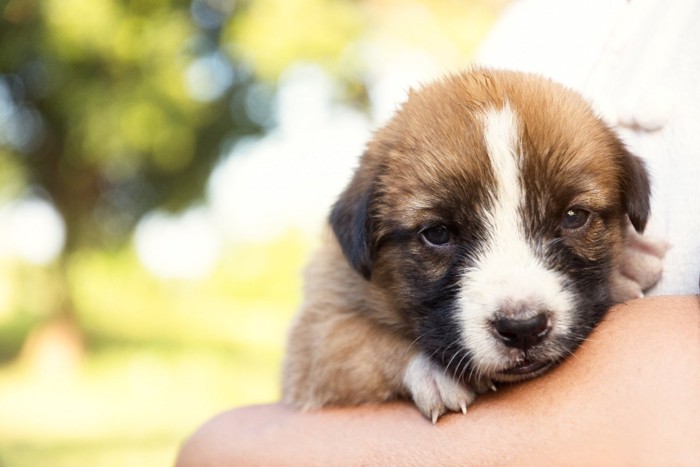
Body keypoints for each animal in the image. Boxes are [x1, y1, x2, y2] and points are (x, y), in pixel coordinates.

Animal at [284, 69, 660, 424]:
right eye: (437, 233)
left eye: (574, 216)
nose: (523, 328)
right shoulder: (313, 341)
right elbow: (364, 341)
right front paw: (434, 373)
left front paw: (628, 262)